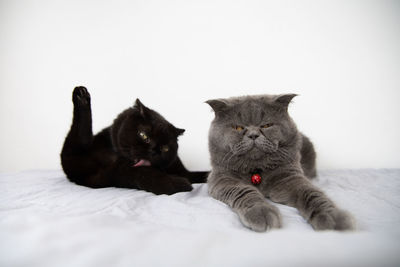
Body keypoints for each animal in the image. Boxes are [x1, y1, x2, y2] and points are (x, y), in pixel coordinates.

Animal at [61, 87, 209, 195]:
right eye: (143, 135)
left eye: (165, 148)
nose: (153, 151)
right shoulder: (116, 171)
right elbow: (144, 174)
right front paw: (179, 185)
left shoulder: (183, 172)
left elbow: (204, 175)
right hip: (75, 155)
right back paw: (81, 96)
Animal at [206, 94, 354, 232]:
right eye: (238, 128)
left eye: (266, 125)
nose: (253, 134)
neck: (256, 170)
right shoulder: (222, 178)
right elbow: (245, 191)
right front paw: (261, 212)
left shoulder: (290, 177)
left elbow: (311, 193)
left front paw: (334, 218)